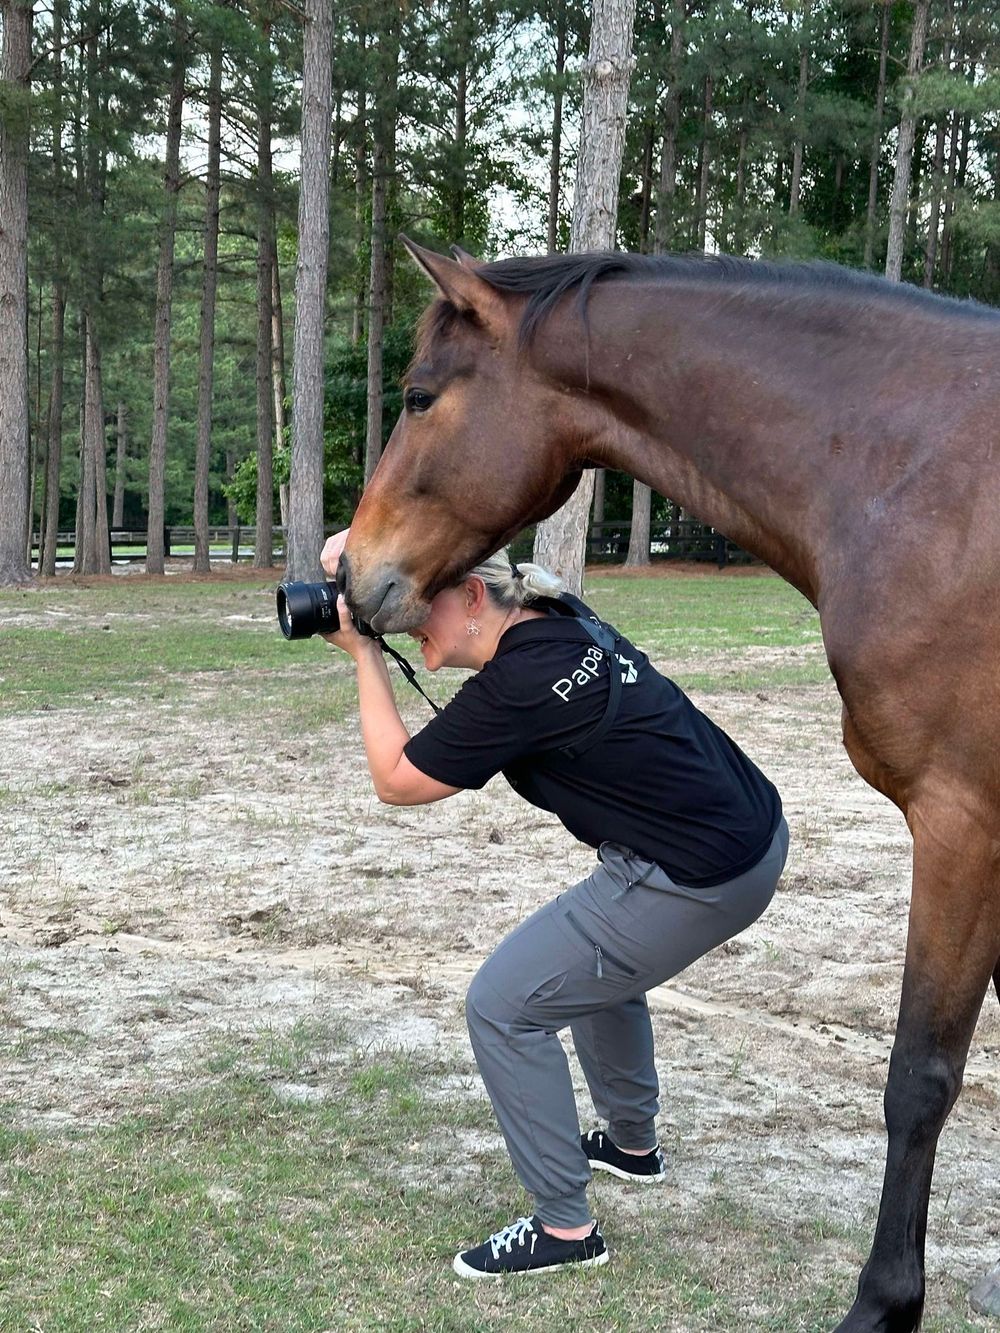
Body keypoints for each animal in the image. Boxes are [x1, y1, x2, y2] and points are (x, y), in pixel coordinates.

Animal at [340, 238, 1000, 1332]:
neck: (915, 478)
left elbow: (919, 1073)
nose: (351, 573)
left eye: (420, 395)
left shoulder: (962, 822)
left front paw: (883, 1302)